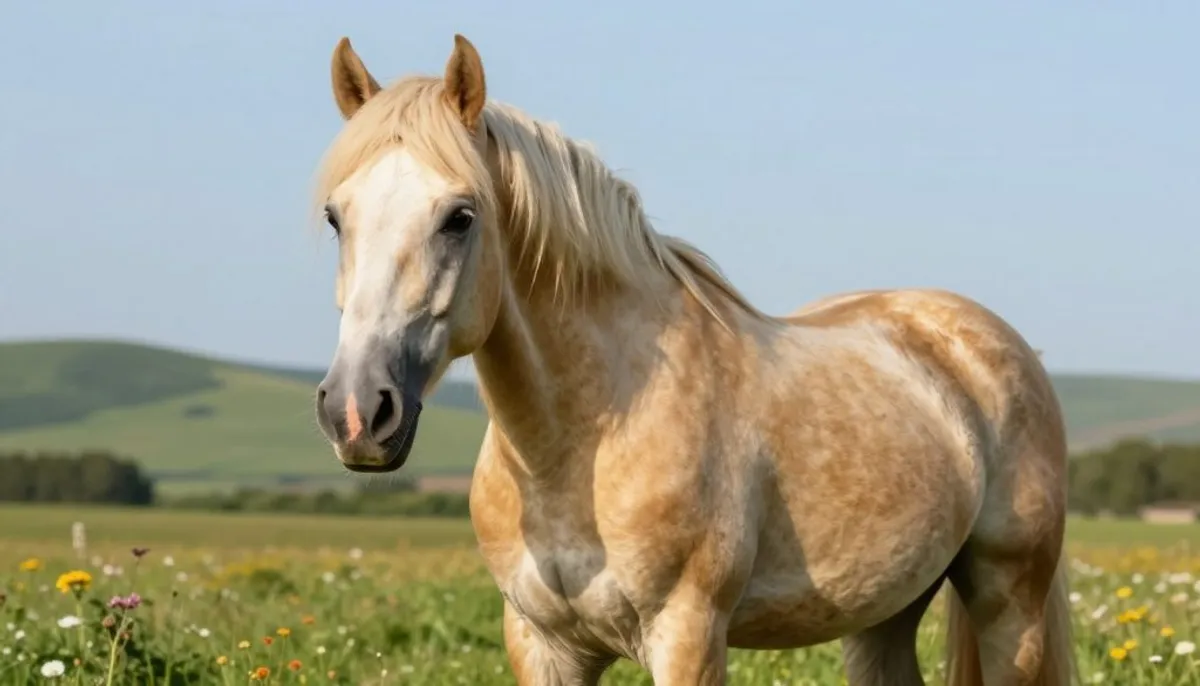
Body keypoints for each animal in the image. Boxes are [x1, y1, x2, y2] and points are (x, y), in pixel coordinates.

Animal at [308, 33, 1077, 686]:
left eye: (460, 216)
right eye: (336, 217)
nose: (358, 412)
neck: (583, 444)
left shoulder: (687, 634)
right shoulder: (542, 644)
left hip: (1008, 599)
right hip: (885, 608)